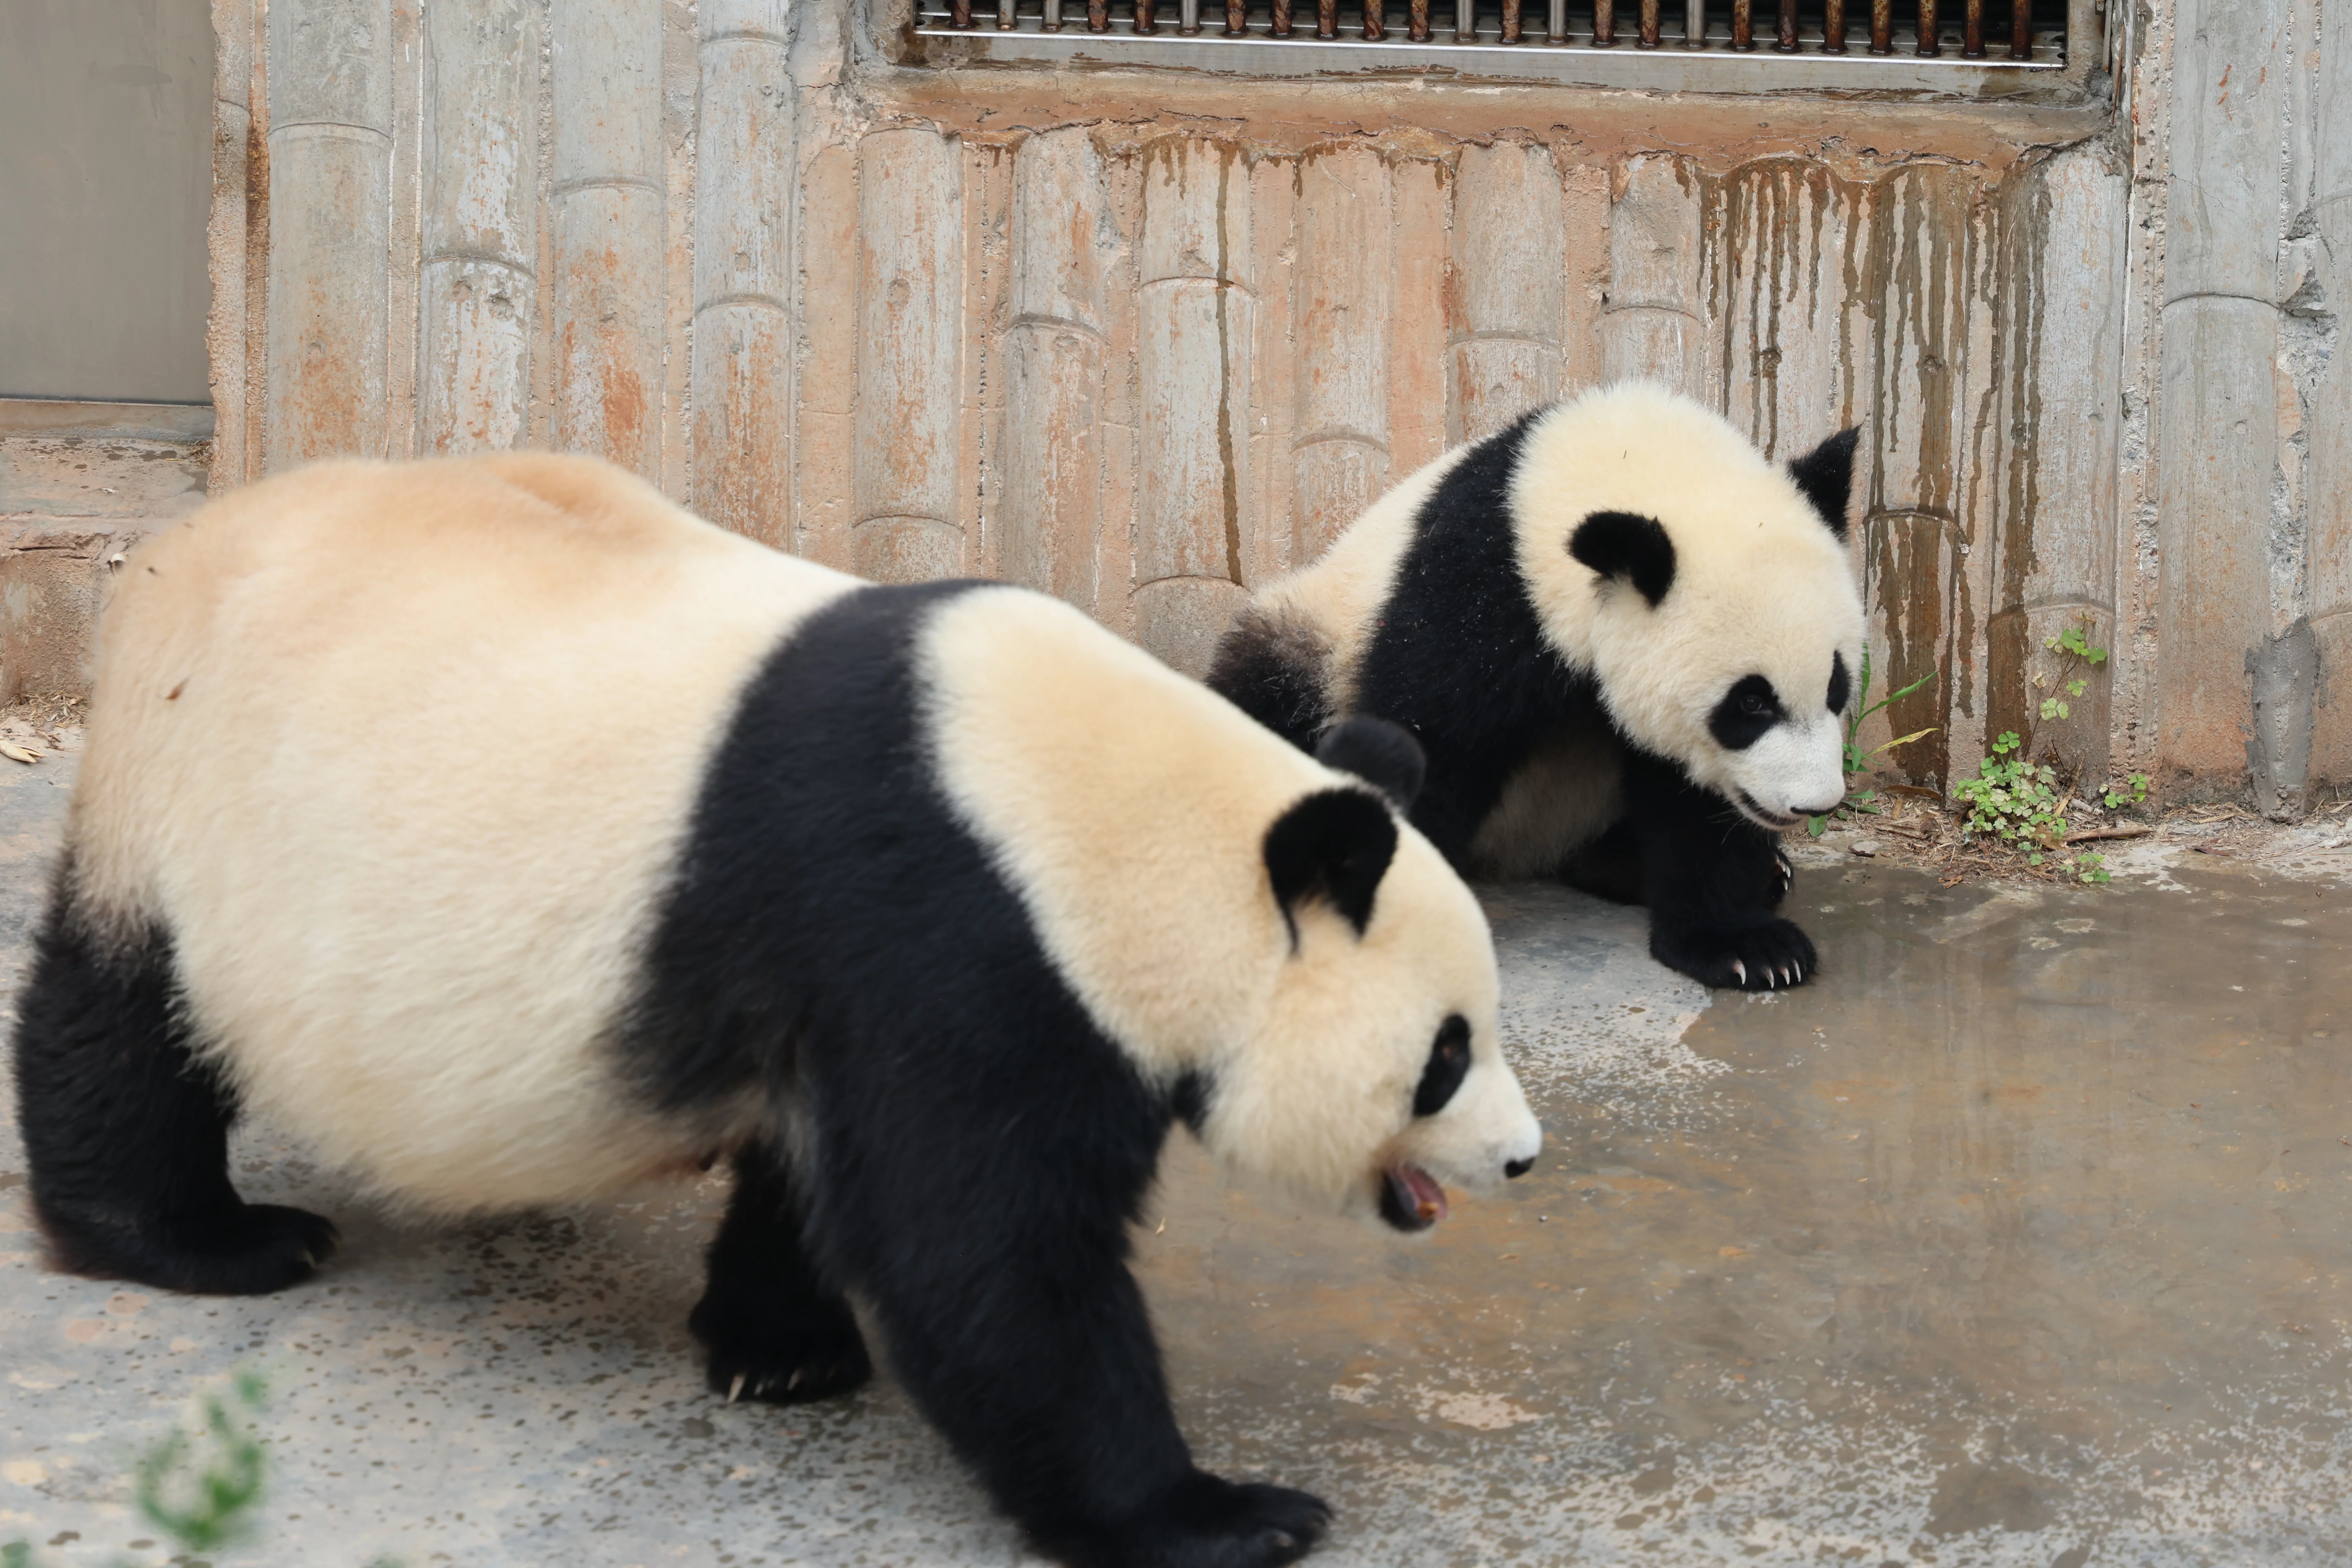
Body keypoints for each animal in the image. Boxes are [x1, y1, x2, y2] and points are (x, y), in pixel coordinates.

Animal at [10, 454, 1542, 1568]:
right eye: (1445, 1054)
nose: (1523, 1158)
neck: (1100, 817)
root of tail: (190, 531)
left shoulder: (859, 970)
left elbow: (823, 1174)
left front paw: (780, 1350)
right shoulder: (956, 926)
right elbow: (990, 1258)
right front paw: (1221, 1514)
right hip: (183, 794)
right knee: (120, 1020)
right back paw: (198, 1238)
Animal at [1207, 382, 1865, 993]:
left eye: (1836, 686)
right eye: (1750, 703)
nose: (1815, 804)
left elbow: (1690, 799)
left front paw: (1748, 947)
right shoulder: (1481, 585)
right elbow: (1429, 740)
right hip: (1316, 637)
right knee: (1267, 697)